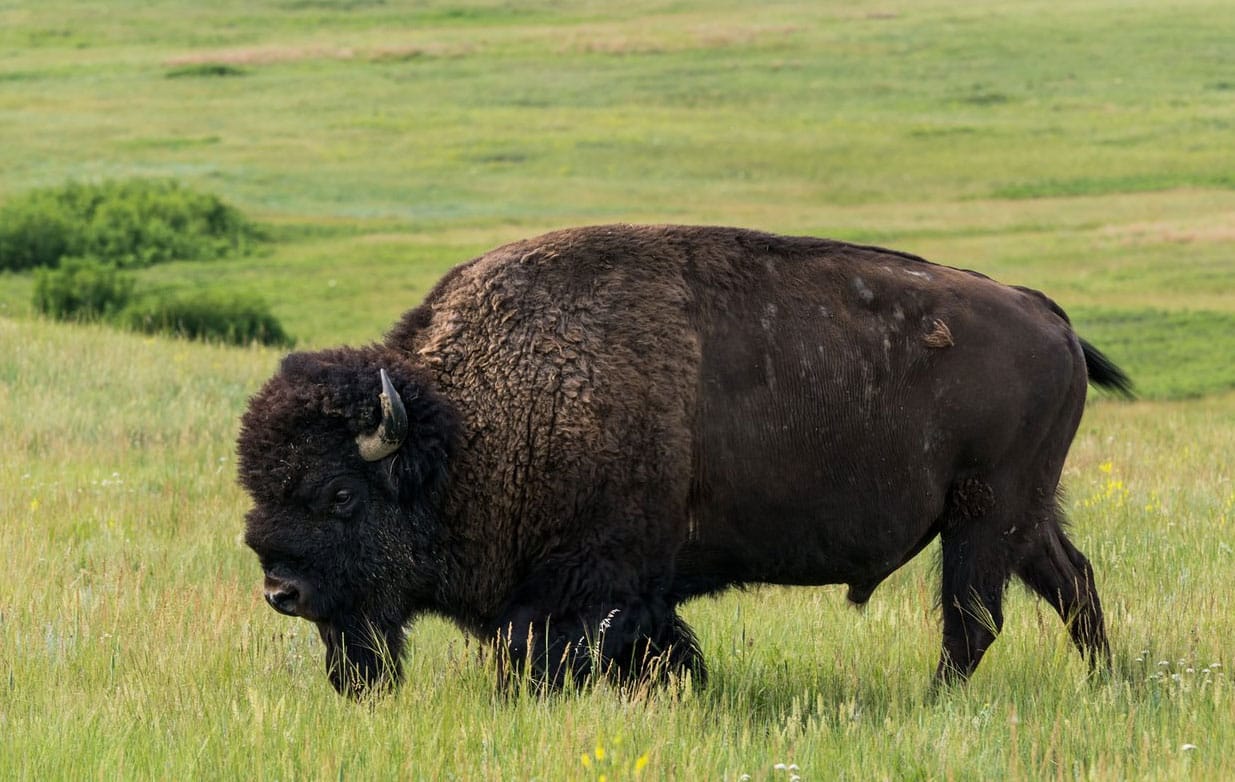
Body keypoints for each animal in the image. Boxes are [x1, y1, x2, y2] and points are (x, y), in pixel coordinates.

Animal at [233, 223, 1131, 696]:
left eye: (340, 496)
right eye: (258, 488)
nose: (282, 591)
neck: (466, 426)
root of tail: (1046, 315)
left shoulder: (587, 586)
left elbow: (549, 653)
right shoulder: (632, 593)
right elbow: (662, 648)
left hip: (983, 514)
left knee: (973, 618)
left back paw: (931, 701)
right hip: (1020, 514)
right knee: (1071, 583)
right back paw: (1103, 682)